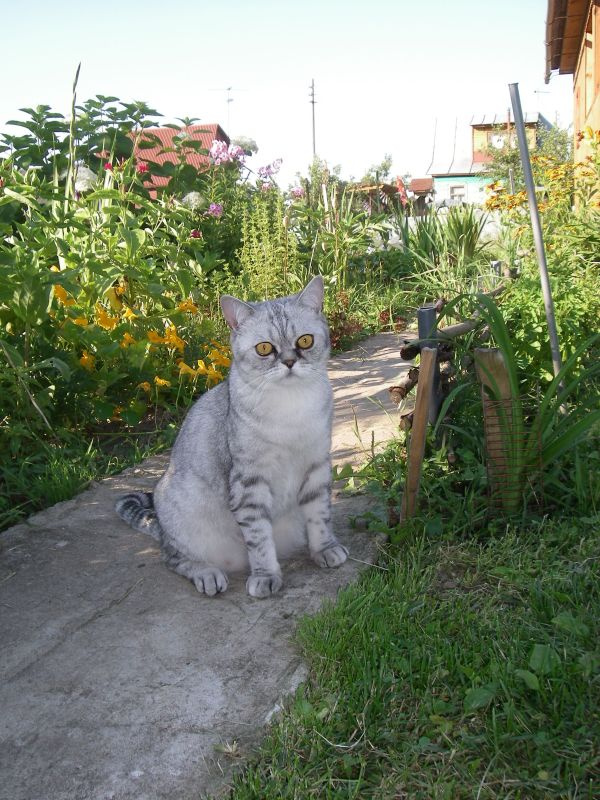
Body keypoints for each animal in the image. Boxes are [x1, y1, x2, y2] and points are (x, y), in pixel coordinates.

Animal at [115, 275, 348, 598]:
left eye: (304, 341)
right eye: (264, 348)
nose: (289, 362)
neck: (291, 407)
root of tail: (160, 526)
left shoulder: (316, 466)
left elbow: (319, 517)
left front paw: (325, 549)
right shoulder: (249, 481)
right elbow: (259, 539)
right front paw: (265, 576)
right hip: (183, 516)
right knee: (172, 557)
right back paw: (207, 574)